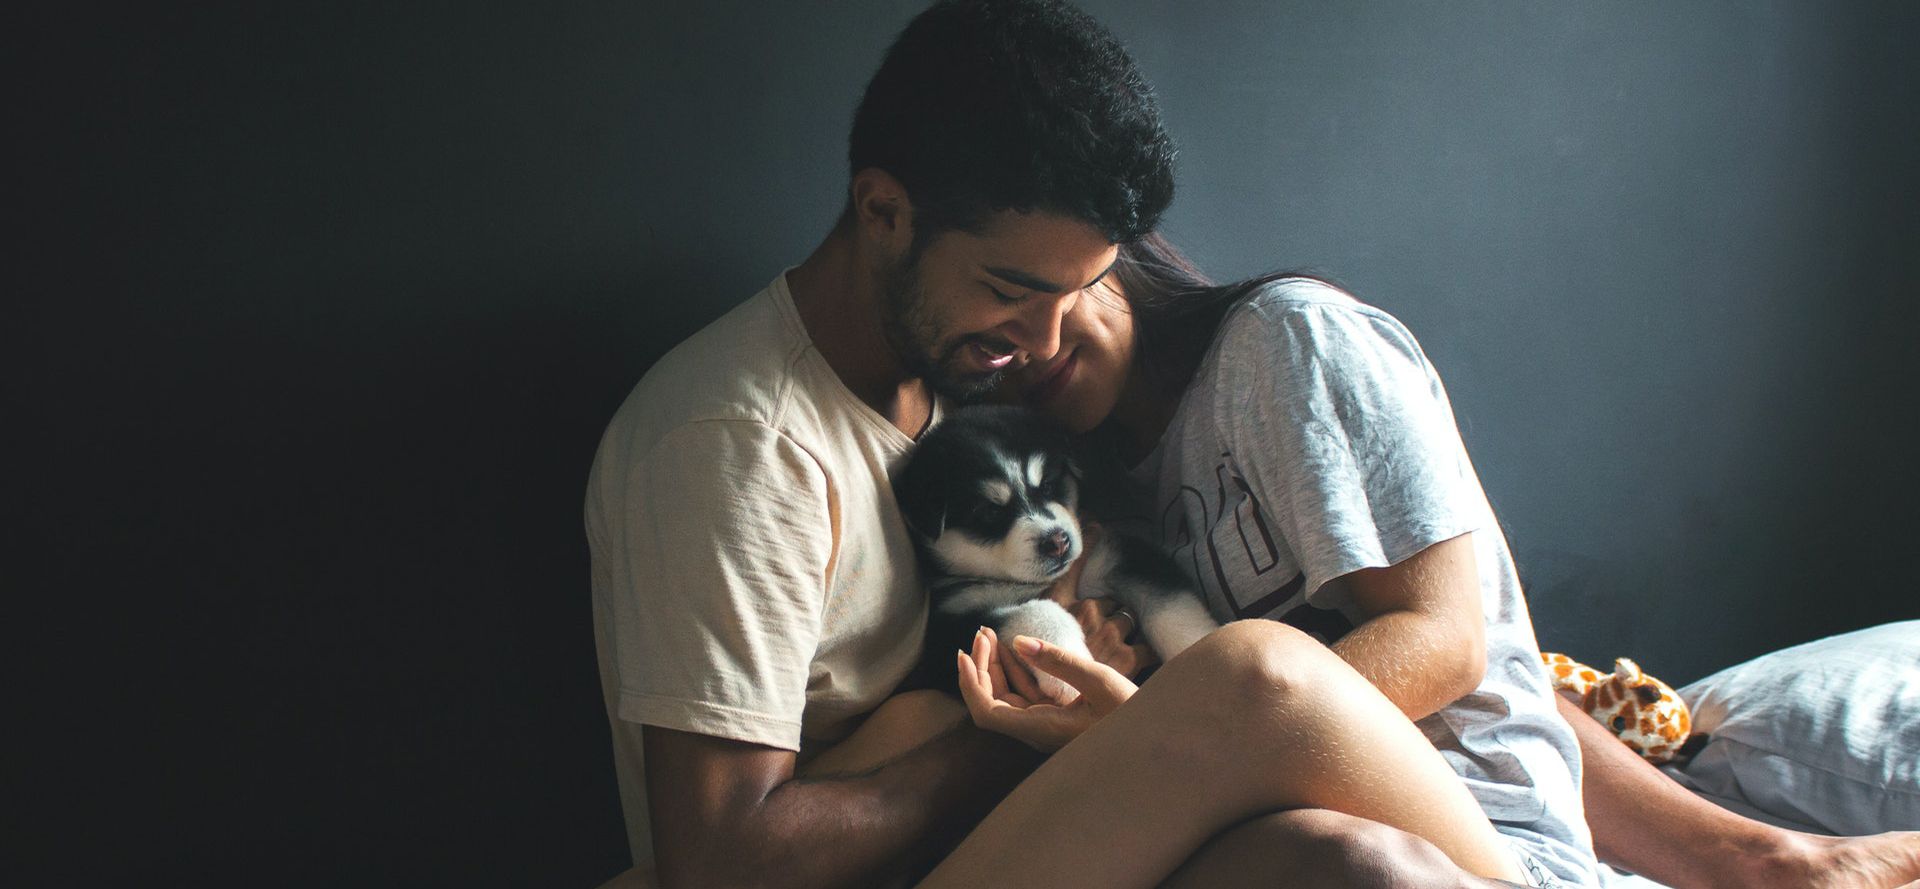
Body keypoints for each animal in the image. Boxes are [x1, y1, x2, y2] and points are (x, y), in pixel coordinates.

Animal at [887, 403, 1213, 702]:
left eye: (1047, 486)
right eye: (990, 512)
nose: (1058, 542)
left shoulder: (1117, 555)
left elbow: (1170, 604)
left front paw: (1200, 647)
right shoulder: (950, 632)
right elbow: (1036, 610)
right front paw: (1070, 672)